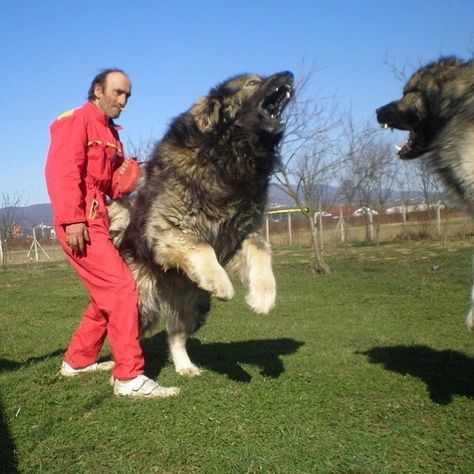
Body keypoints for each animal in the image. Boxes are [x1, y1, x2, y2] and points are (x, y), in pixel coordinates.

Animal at [109, 72, 294, 378]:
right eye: (253, 83)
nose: (289, 74)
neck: (227, 156)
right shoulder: (169, 227)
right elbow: (202, 248)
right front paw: (222, 284)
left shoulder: (243, 232)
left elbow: (261, 257)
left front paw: (263, 299)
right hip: (140, 302)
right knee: (125, 334)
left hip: (192, 304)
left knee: (175, 336)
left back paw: (185, 367)